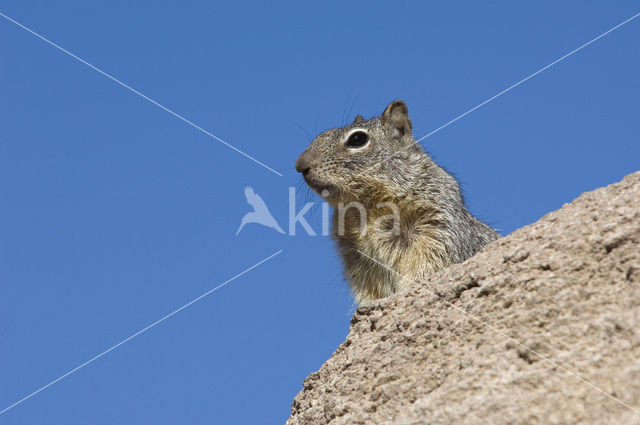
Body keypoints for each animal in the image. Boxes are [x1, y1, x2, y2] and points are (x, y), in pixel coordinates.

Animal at [296, 100, 500, 302]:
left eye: (357, 139)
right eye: (322, 135)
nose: (300, 165)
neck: (364, 210)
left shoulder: (435, 229)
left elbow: (426, 267)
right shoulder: (359, 261)